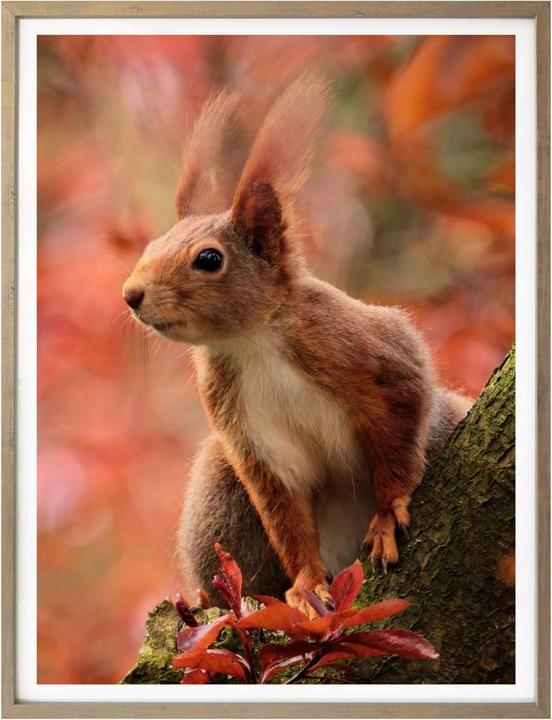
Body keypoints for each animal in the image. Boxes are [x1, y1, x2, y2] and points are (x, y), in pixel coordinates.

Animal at [122, 76, 472, 618]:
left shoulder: (370, 352)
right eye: (150, 245)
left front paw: (387, 514)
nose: (131, 294)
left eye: (209, 259)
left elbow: (402, 422)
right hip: (217, 488)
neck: (251, 343)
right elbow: (284, 513)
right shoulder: (250, 438)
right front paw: (307, 586)